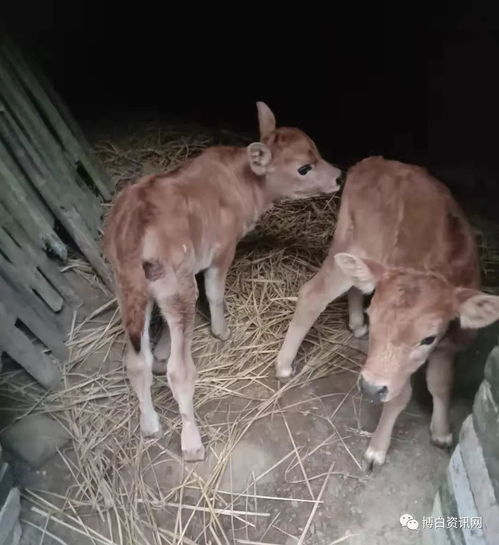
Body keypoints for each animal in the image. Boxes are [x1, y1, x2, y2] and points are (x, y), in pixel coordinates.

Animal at [103, 102, 342, 460]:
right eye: (304, 168)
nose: (339, 176)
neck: (244, 181)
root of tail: (133, 225)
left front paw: (162, 348)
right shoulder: (222, 251)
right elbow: (215, 293)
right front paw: (222, 331)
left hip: (130, 290)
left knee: (135, 361)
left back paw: (150, 425)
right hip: (177, 287)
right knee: (179, 371)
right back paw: (191, 442)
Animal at [276, 156, 499, 468]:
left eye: (428, 338)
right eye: (376, 320)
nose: (370, 388)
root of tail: (376, 161)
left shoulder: (451, 344)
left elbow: (441, 384)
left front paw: (442, 432)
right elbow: (398, 397)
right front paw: (377, 449)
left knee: (357, 284)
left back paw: (356, 324)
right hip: (350, 243)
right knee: (312, 295)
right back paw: (284, 364)